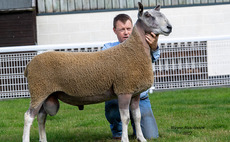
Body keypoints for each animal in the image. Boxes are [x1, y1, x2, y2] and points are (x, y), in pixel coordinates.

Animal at [22, 2, 171, 142]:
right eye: (147, 15)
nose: (169, 27)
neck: (133, 50)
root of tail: (29, 65)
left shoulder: (135, 93)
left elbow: (137, 117)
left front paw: (142, 138)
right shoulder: (124, 90)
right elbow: (125, 118)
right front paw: (125, 139)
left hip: (45, 94)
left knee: (41, 117)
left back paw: (43, 139)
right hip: (38, 90)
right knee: (28, 117)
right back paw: (26, 138)